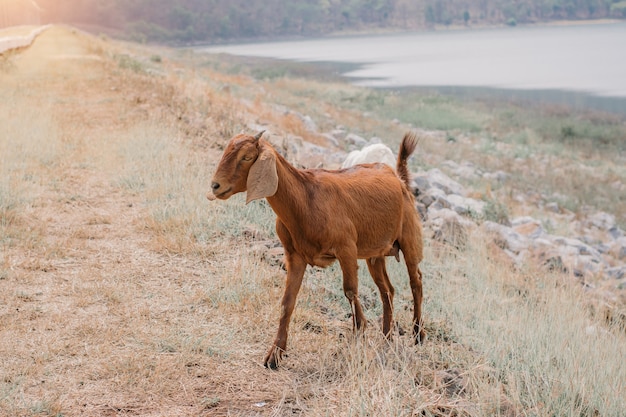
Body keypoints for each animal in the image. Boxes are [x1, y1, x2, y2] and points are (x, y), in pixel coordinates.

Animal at [207, 131, 422, 368]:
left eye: (246, 157)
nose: (215, 185)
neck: (306, 199)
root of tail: (399, 178)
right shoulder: (295, 256)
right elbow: (287, 301)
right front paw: (274, 355)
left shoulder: (346, 249)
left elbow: (350, 290)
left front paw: (359, 330)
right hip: (375, 253)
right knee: (387, 290)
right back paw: (387, 338)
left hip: (410, 238)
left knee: (416, 281)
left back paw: (417, 334)